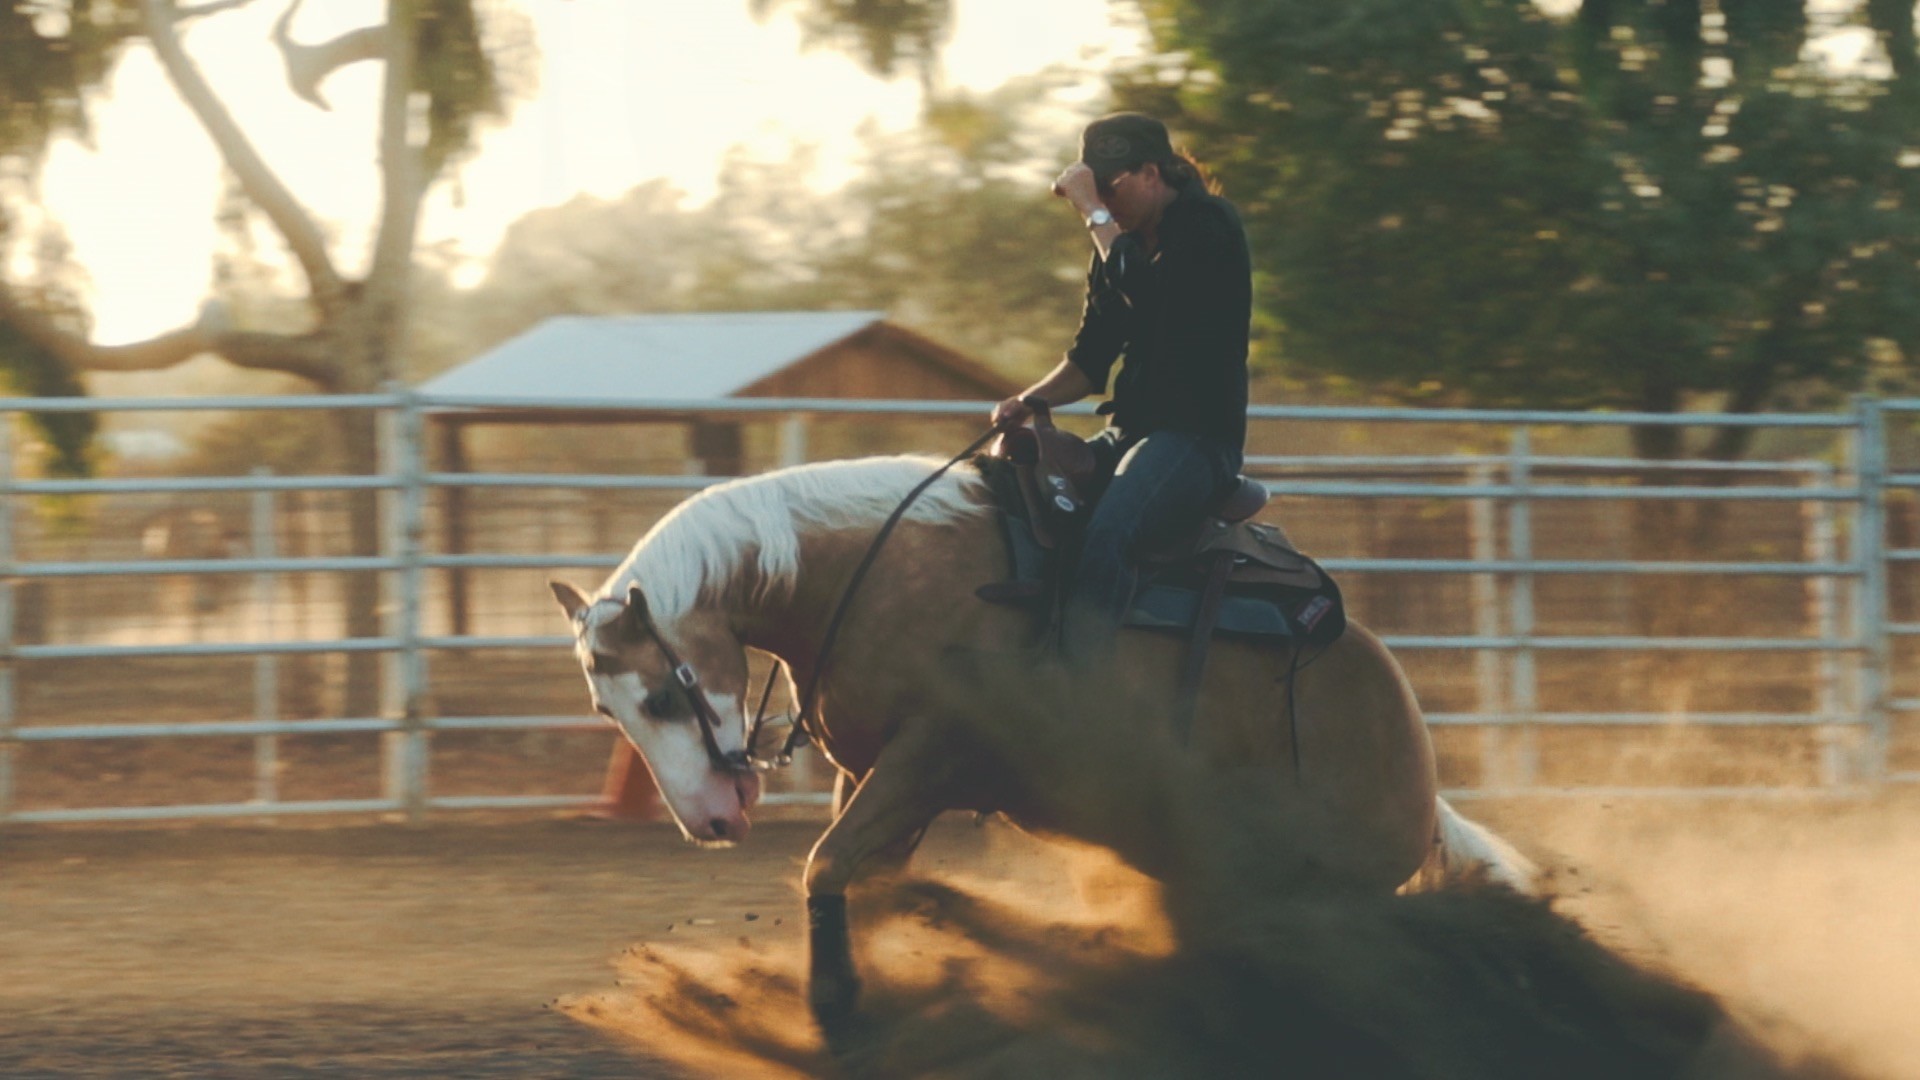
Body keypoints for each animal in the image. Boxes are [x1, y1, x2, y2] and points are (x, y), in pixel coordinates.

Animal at [549, 451, 1536, 1022]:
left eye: (663, 697)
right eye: (607, 711)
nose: (711, 819)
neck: (871, 572)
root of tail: (1418, 767)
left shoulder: (928, 756)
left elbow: (826, 866)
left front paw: (834, 1002)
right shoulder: (875, 773)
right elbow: (866, 877)